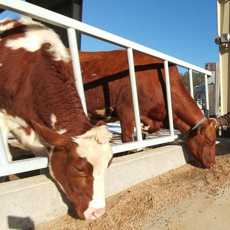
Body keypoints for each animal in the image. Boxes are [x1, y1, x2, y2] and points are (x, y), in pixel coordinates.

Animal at [80, 50, 217, 168]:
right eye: (209, 141)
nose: (212, 164)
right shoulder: (125, 111)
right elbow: (127, 140)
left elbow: (151, 128)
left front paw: (143, 129)